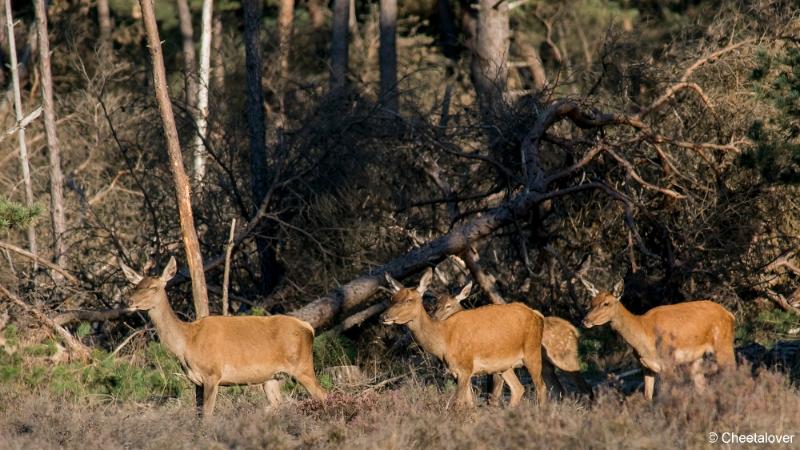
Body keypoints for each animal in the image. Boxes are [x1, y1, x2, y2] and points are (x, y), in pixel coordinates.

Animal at [120, 258, 326, 416]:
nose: (129, 301)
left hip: (302, 366)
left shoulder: (212, 374)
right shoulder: (197, 381)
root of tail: (308, 328)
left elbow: (207, 416)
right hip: (271, 378)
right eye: (135, 286)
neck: (187, 342)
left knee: (323, 395)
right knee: (278, 404)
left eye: (154, 287)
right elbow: (198, 415)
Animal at [382, 268, 552, 410]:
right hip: (504, 365)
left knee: (541, 387)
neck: (443, 341)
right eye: (391, 298)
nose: (384, 316)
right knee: (518, 388)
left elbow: (456, 404)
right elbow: (469, 405)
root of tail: (538, 315)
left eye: (409, 300)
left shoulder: (466, 367)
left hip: (532, 351)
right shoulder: (456, 371)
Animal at [432, 284, 592, 400]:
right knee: (559, 390)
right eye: (436, 304)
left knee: (583, 386)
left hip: (564, 358)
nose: (434, 318)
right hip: (547, 366)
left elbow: (494, 394)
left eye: (449, 305)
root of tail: (574, 331)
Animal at [580, 282, 736, 400]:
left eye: (606, 303)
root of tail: (730, 314)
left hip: (723, 345)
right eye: (591, 302)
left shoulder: (668, 363)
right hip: (696, 360)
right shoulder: (646, 367)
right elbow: (648, 397)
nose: (585, 320)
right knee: (702, 387)